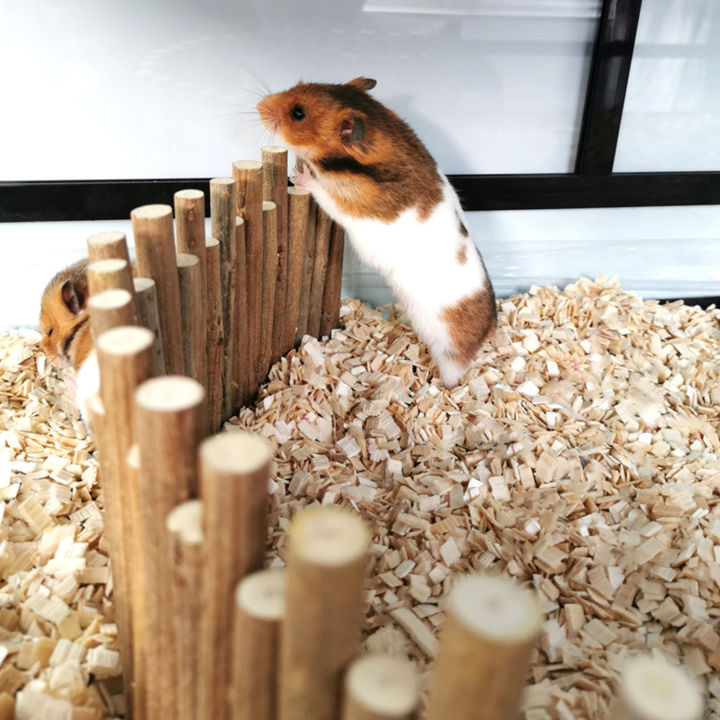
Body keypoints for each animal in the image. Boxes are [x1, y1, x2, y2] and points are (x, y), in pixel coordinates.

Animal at [257, 77, 496, 388]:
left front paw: (298, 175)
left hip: (449, 353)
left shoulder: (344, 200)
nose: (258, 105)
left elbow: (320, 191)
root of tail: (490, 328)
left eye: (298, 113)